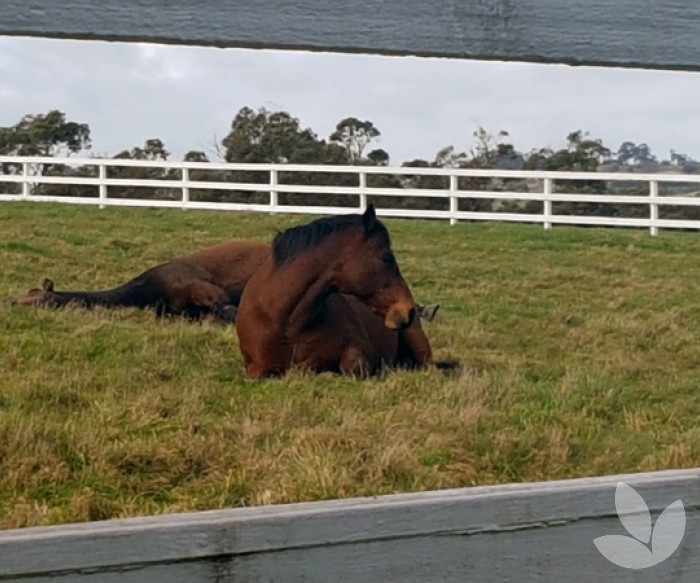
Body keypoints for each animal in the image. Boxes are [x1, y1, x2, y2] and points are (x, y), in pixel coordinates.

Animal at [235, 205, 432, 378]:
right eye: (386, 257)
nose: (408, 310)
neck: (286, 323)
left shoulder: (358, 352)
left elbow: (349, 367)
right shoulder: (256, 369)